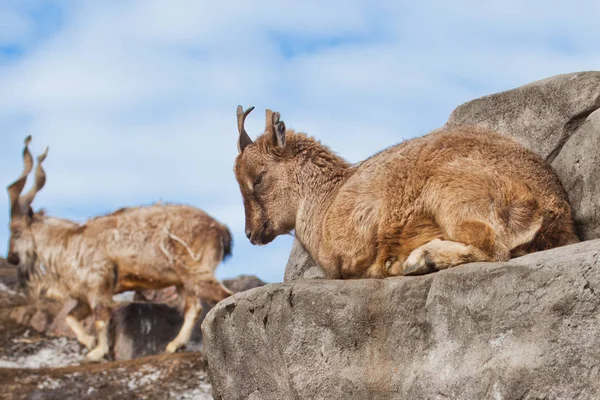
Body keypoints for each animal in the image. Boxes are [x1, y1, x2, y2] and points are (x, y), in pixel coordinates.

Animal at [7, 137, 233, 362]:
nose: (11, 258)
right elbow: (72, 317)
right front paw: (90, 342)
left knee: (220, 296)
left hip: (196, 270)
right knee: (194, 307)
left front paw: (97, 352)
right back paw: (175, 345)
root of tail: (220, 228)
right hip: (184, 280)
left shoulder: (98, 285)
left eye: (15, 230)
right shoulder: (86, 295)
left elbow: (100, 319)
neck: (69, 241)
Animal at [232, 108, 580, 280]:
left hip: (453, 195)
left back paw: (421, 259)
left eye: (258, 179)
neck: (326, 200)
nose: (251, 233)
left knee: (491, 246)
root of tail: (549, 208)